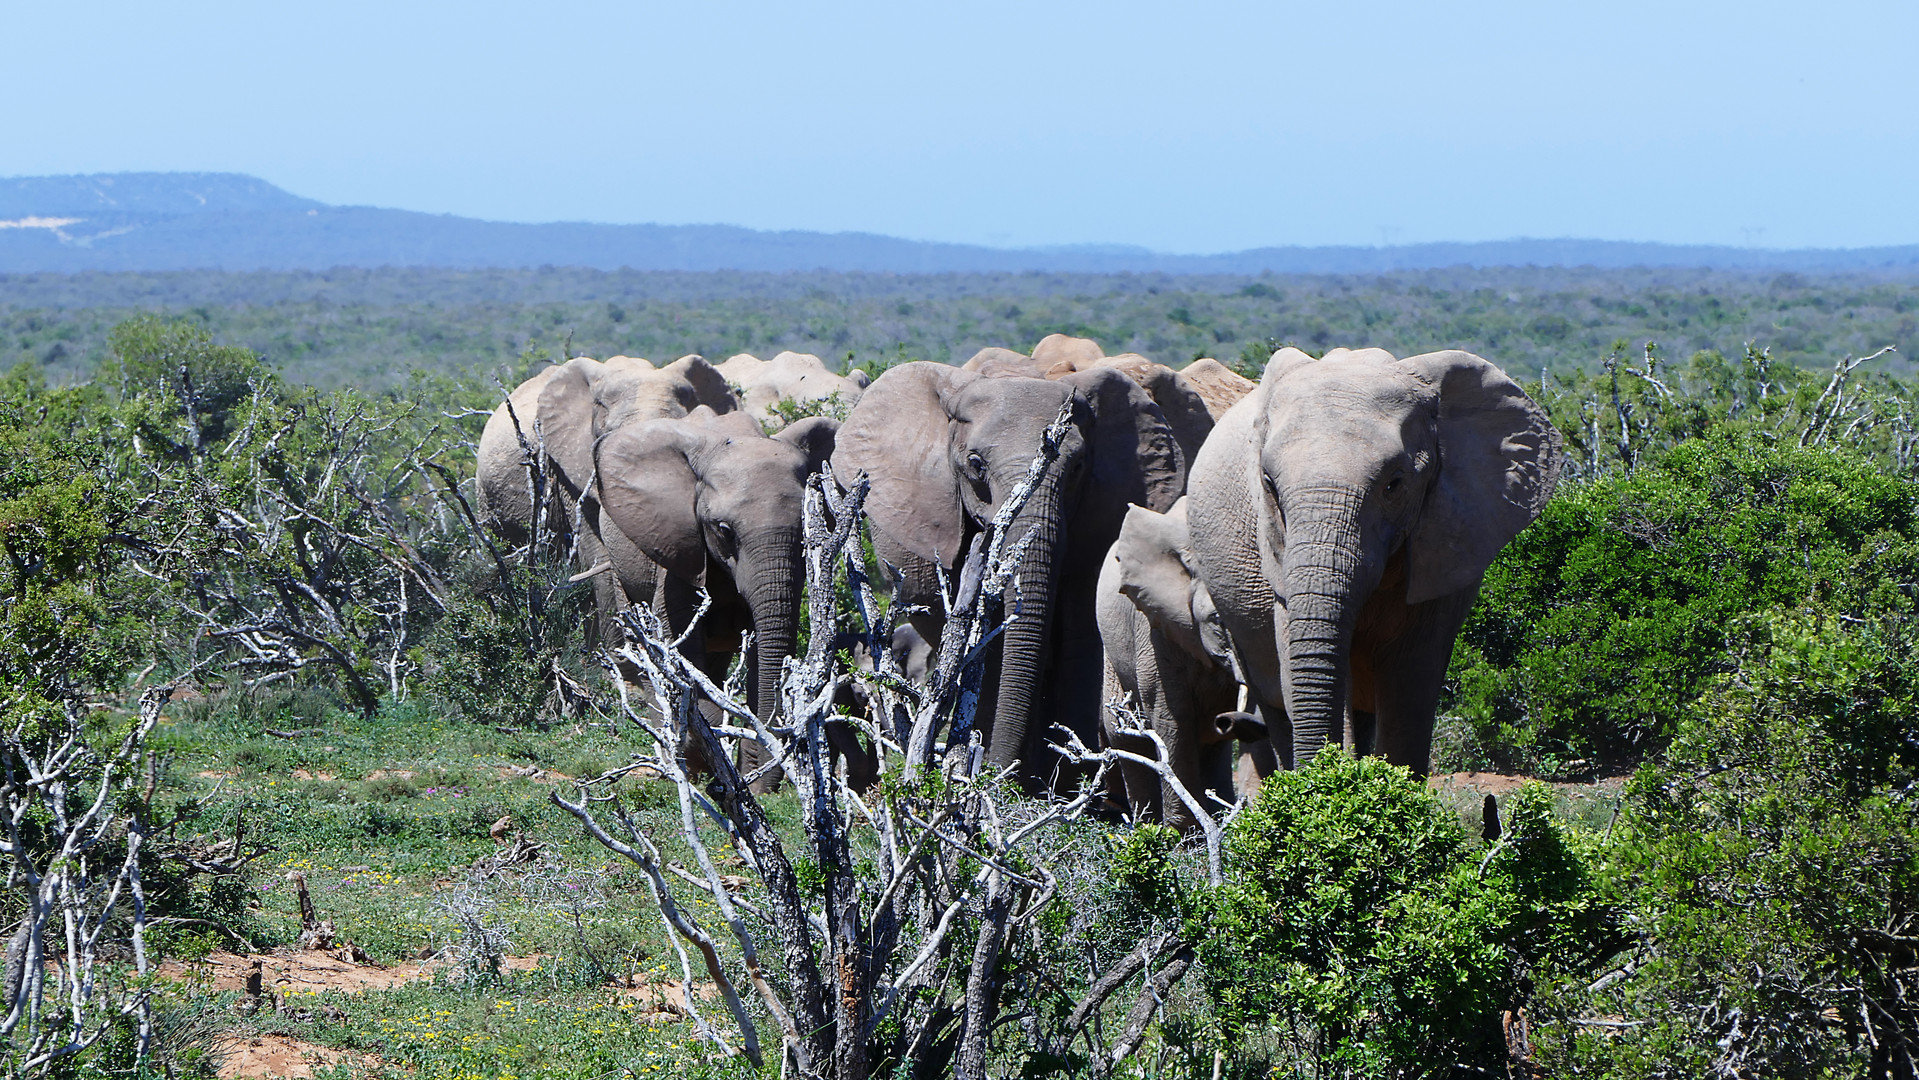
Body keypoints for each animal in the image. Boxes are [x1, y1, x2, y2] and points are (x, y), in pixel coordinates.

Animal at [836, 358, 1189, 790]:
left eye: (1077, 467)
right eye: (976, 466)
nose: (998, 775)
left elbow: (1077, 633)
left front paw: (1062, 790)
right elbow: (984, 641)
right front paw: (985, 771)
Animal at [1097, 494, 1258, 832]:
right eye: (1217, 619)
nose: (1230, 720)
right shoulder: (1155, 628)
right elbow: (1173, 718)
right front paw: (1182, 836)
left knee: (1211, 745)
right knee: (1125, 734)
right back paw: (1147, 828)